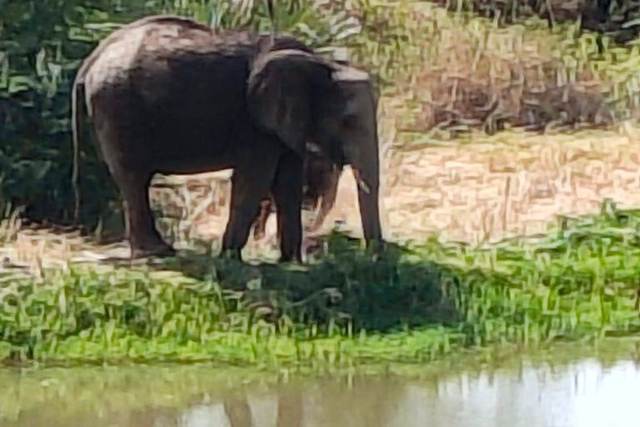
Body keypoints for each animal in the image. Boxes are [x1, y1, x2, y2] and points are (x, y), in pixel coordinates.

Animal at [71, 14, 383, 262]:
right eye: (347, 122)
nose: (373, 259)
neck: (322, 64)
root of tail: (93, 58)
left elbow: (288, 182)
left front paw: (291, 263)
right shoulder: (256, 124)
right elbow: (255, 178)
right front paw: (230, 258)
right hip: (117, 105)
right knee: (134, 176)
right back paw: (158, 252)